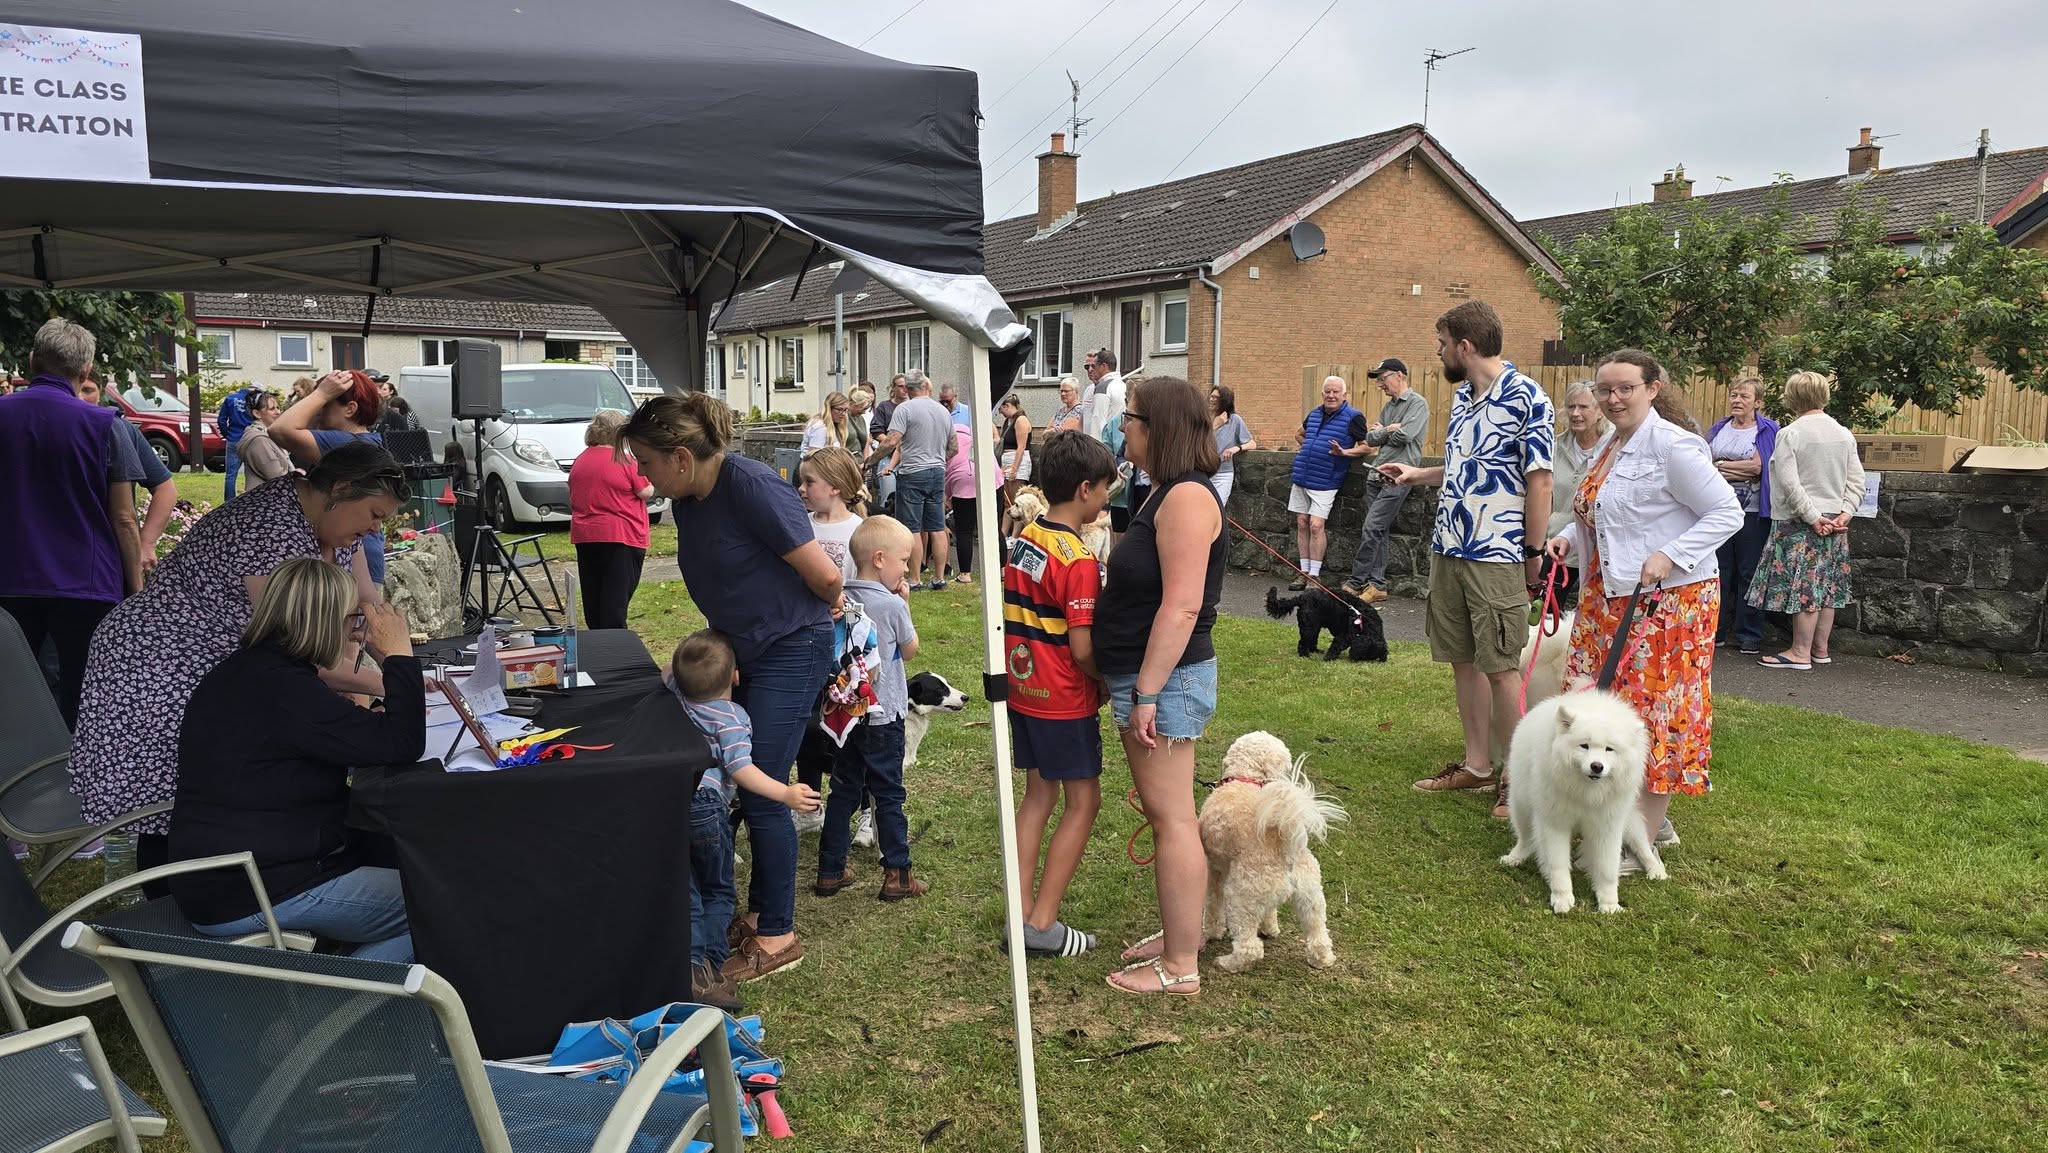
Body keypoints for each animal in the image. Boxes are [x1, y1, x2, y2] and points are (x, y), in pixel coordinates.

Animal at [1200, 731, 1345, 973]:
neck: (1244, 778)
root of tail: (1286, 849)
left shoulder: (1215, 871)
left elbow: (1212, 906)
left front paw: (1211, 933)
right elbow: (1269, 912)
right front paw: (1269, 929)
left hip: (1240, 897)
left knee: (1250, 948)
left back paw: (1228, 963)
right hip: (1311, 897)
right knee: (1319, 935)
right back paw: (1322, 960)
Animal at [1498, 690, 1663, 914]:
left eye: (1609, 749)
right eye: (1584, 746)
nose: (1597, 766)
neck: (1586, 792)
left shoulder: (1607, 825)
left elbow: (1608, 869)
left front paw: (1609, 904)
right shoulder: (1555, 822)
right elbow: (1558, 865)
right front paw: (1562, 899)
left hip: (1629, 823)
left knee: (1643, 847)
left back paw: (1656, 870)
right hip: (1521, 806)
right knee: (1525, 838)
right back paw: (1514, 858)